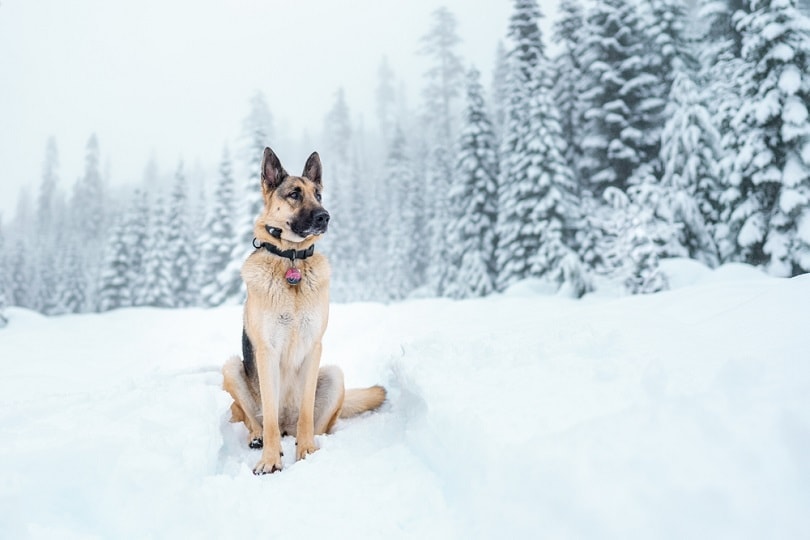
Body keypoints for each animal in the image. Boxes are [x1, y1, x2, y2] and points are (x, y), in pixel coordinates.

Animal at [221, 147, 386, 472]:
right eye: (294, 194)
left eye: (318, 195)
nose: (325, 216)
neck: (292, 259)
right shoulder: (266, 352)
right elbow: (269, 417)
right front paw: (270, 459)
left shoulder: (314, 347)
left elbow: (308, 412)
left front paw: (307, 450)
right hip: (231, 367)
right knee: (255, 420)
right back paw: (258, 438)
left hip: (334, 374)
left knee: (312, 424)